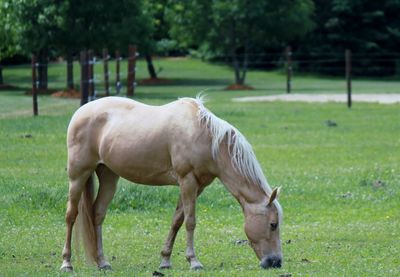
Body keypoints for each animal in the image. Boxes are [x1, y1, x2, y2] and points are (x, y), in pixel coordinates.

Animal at [61, 96, 282, 270]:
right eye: (273, 224)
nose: (276, 262)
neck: (206, 137)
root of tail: (80, 112)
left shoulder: (197, 186)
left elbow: (177, 220)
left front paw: (165, 261)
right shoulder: (187, 181)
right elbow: (190, 221)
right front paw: (194, 262)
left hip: (108, 176)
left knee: (98, 215)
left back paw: (103, 262)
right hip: (78, 176)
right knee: (71, 215)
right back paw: (67, 263)